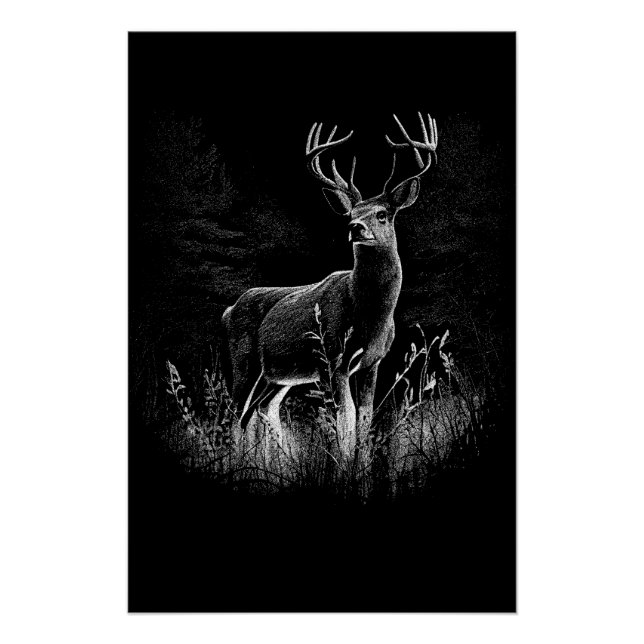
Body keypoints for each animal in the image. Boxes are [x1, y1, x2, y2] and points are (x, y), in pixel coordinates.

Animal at [221, 113, 438, 460]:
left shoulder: (372, 362)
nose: (355, 227)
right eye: (350, 213)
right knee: (235, 413)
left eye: (382, 214)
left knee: (260, 411)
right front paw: (343, 466)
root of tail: (229, 311)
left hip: (277, 376)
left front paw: (360, 467)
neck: (367, 315)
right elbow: (344, 418)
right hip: (244, 359)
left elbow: (364, 419)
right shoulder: (331, 357)